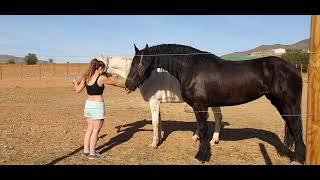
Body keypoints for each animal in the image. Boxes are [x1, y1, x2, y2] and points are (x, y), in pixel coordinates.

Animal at [124, 43, 304, 163]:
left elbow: (203, 130)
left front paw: (201, 156)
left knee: (296, 127)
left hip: (288, 104)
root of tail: (294, 68)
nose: (128, 85)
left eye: (137, 63)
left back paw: (299, 158)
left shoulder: (200, 106)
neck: (192, 68)